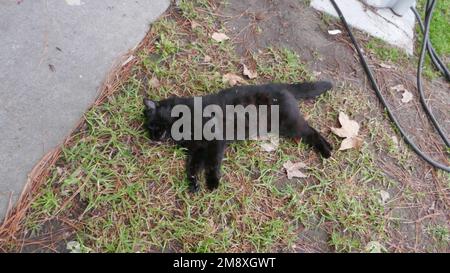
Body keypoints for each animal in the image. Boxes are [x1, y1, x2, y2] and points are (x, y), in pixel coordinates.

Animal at [144, 81, 334, 191]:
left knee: (311, 132)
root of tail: (283, 86)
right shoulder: (197, 149)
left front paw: (212, 182)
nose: (153, 137)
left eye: (153, 126)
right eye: (150, 130)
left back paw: (327, 150)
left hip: (289, 124)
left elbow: (212, 163)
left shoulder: (215, 142)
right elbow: (192, 166)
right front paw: (193, 183)